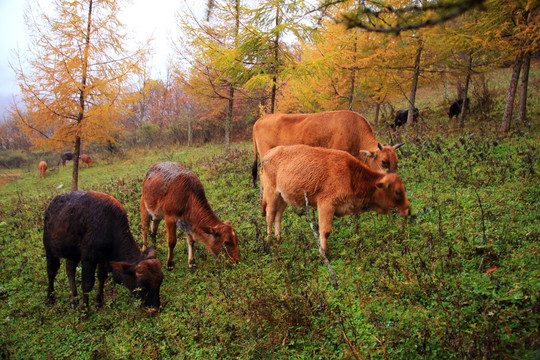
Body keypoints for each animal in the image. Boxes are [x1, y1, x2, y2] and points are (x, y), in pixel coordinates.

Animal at [260, 145, 410, 255]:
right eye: (397, 191)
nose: (407, 209)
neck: (351, 175)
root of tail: (267, 154)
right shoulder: (326, 205)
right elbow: (325, 230)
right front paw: (323, 253)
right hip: (272, 194)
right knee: (269, 216)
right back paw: (270, 242)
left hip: (283, 198)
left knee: (278, 215)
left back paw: (279, 238)